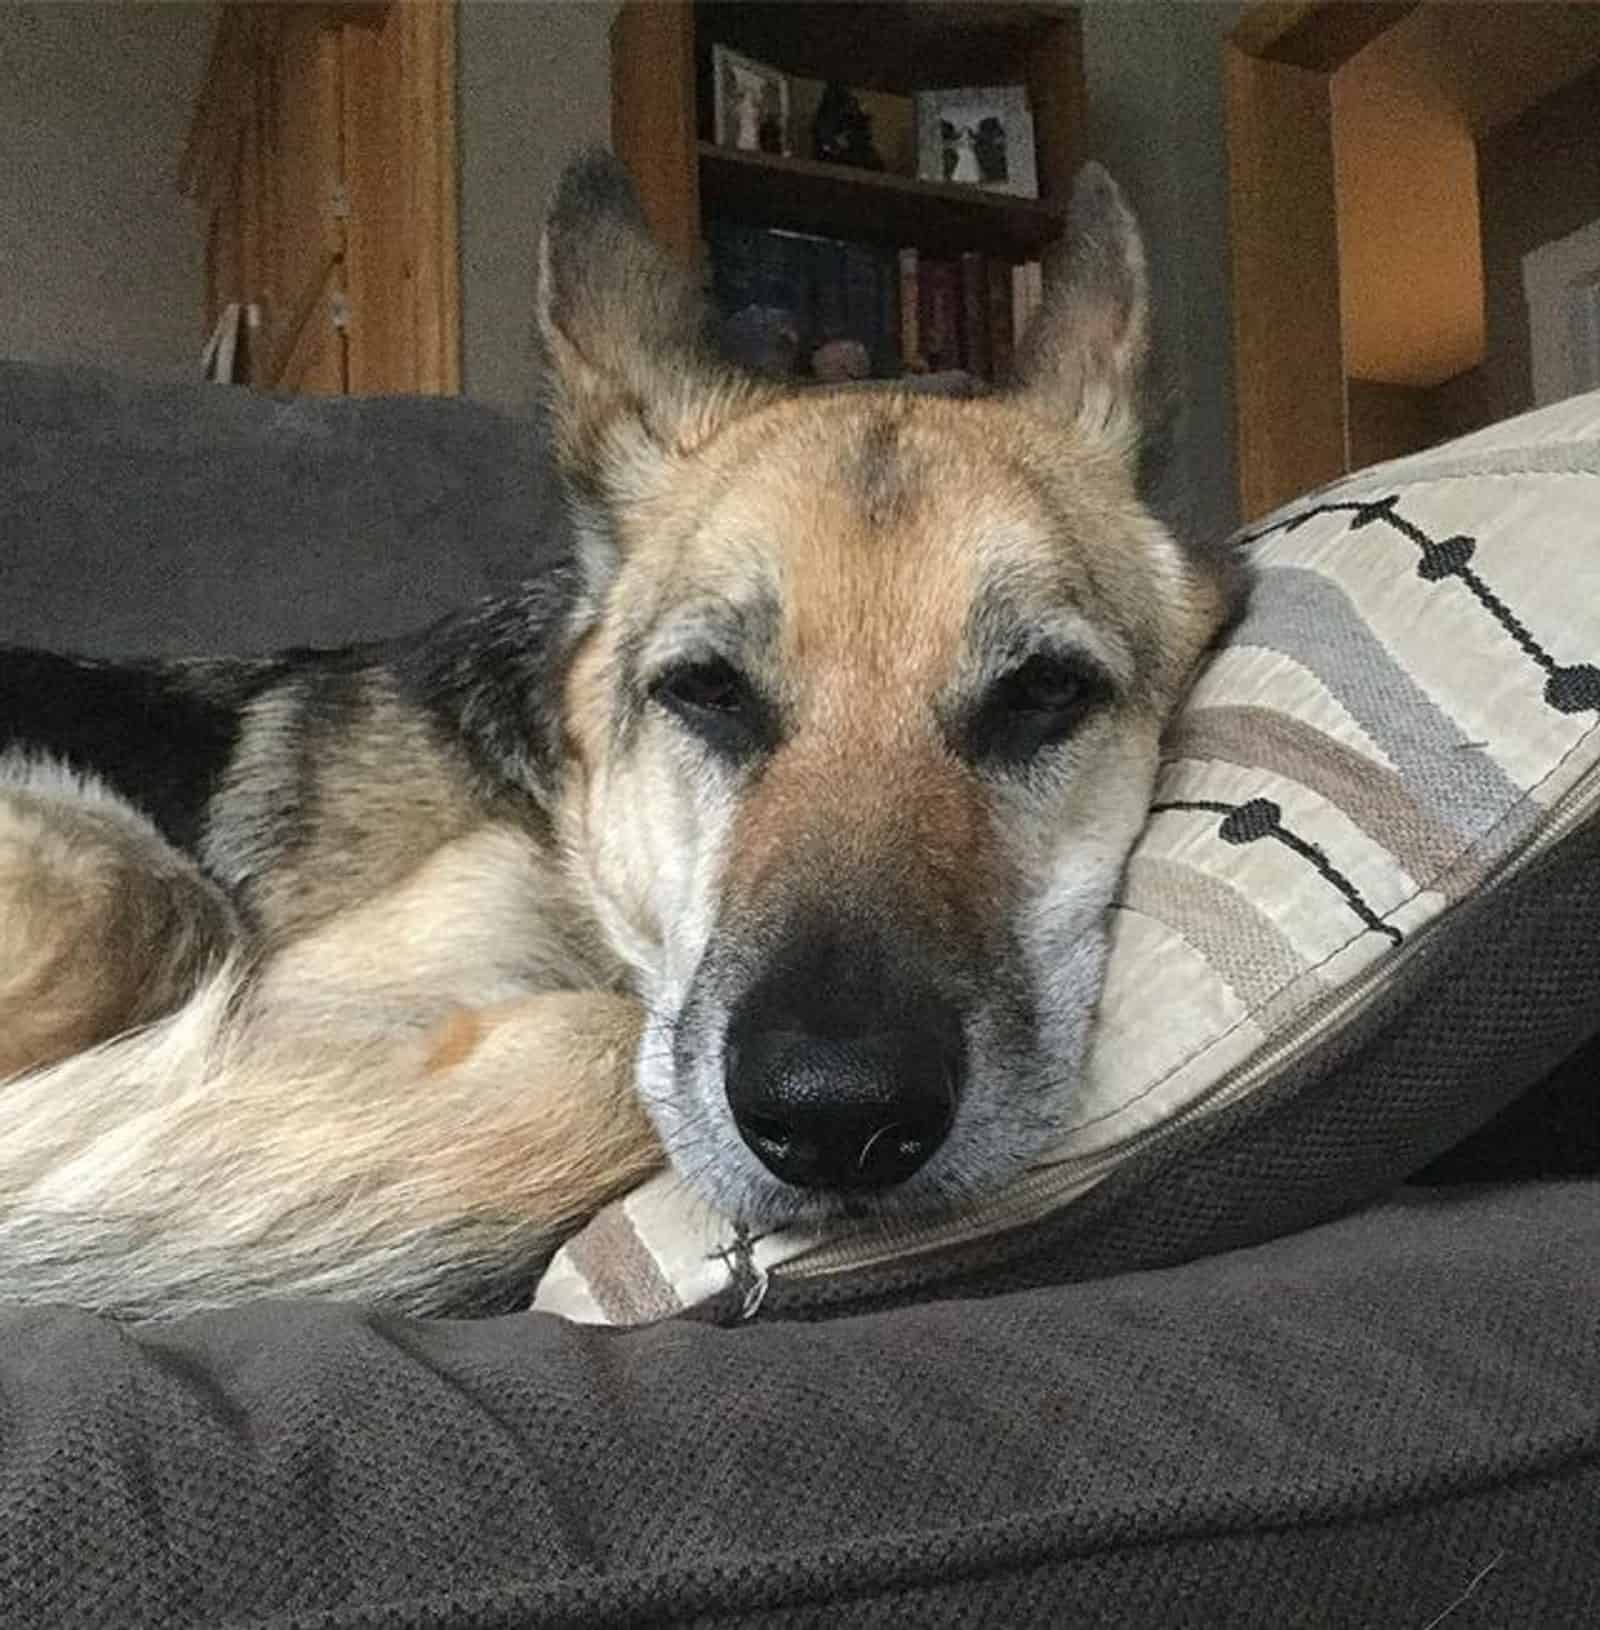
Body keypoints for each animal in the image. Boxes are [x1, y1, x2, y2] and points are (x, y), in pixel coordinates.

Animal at [0, 155, 1238, 1323]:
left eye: (1044, 692)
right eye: (706, 691)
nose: (838, 1117)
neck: (571, 837)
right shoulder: (316, 1005)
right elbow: (605, 1047)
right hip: (129, 875)